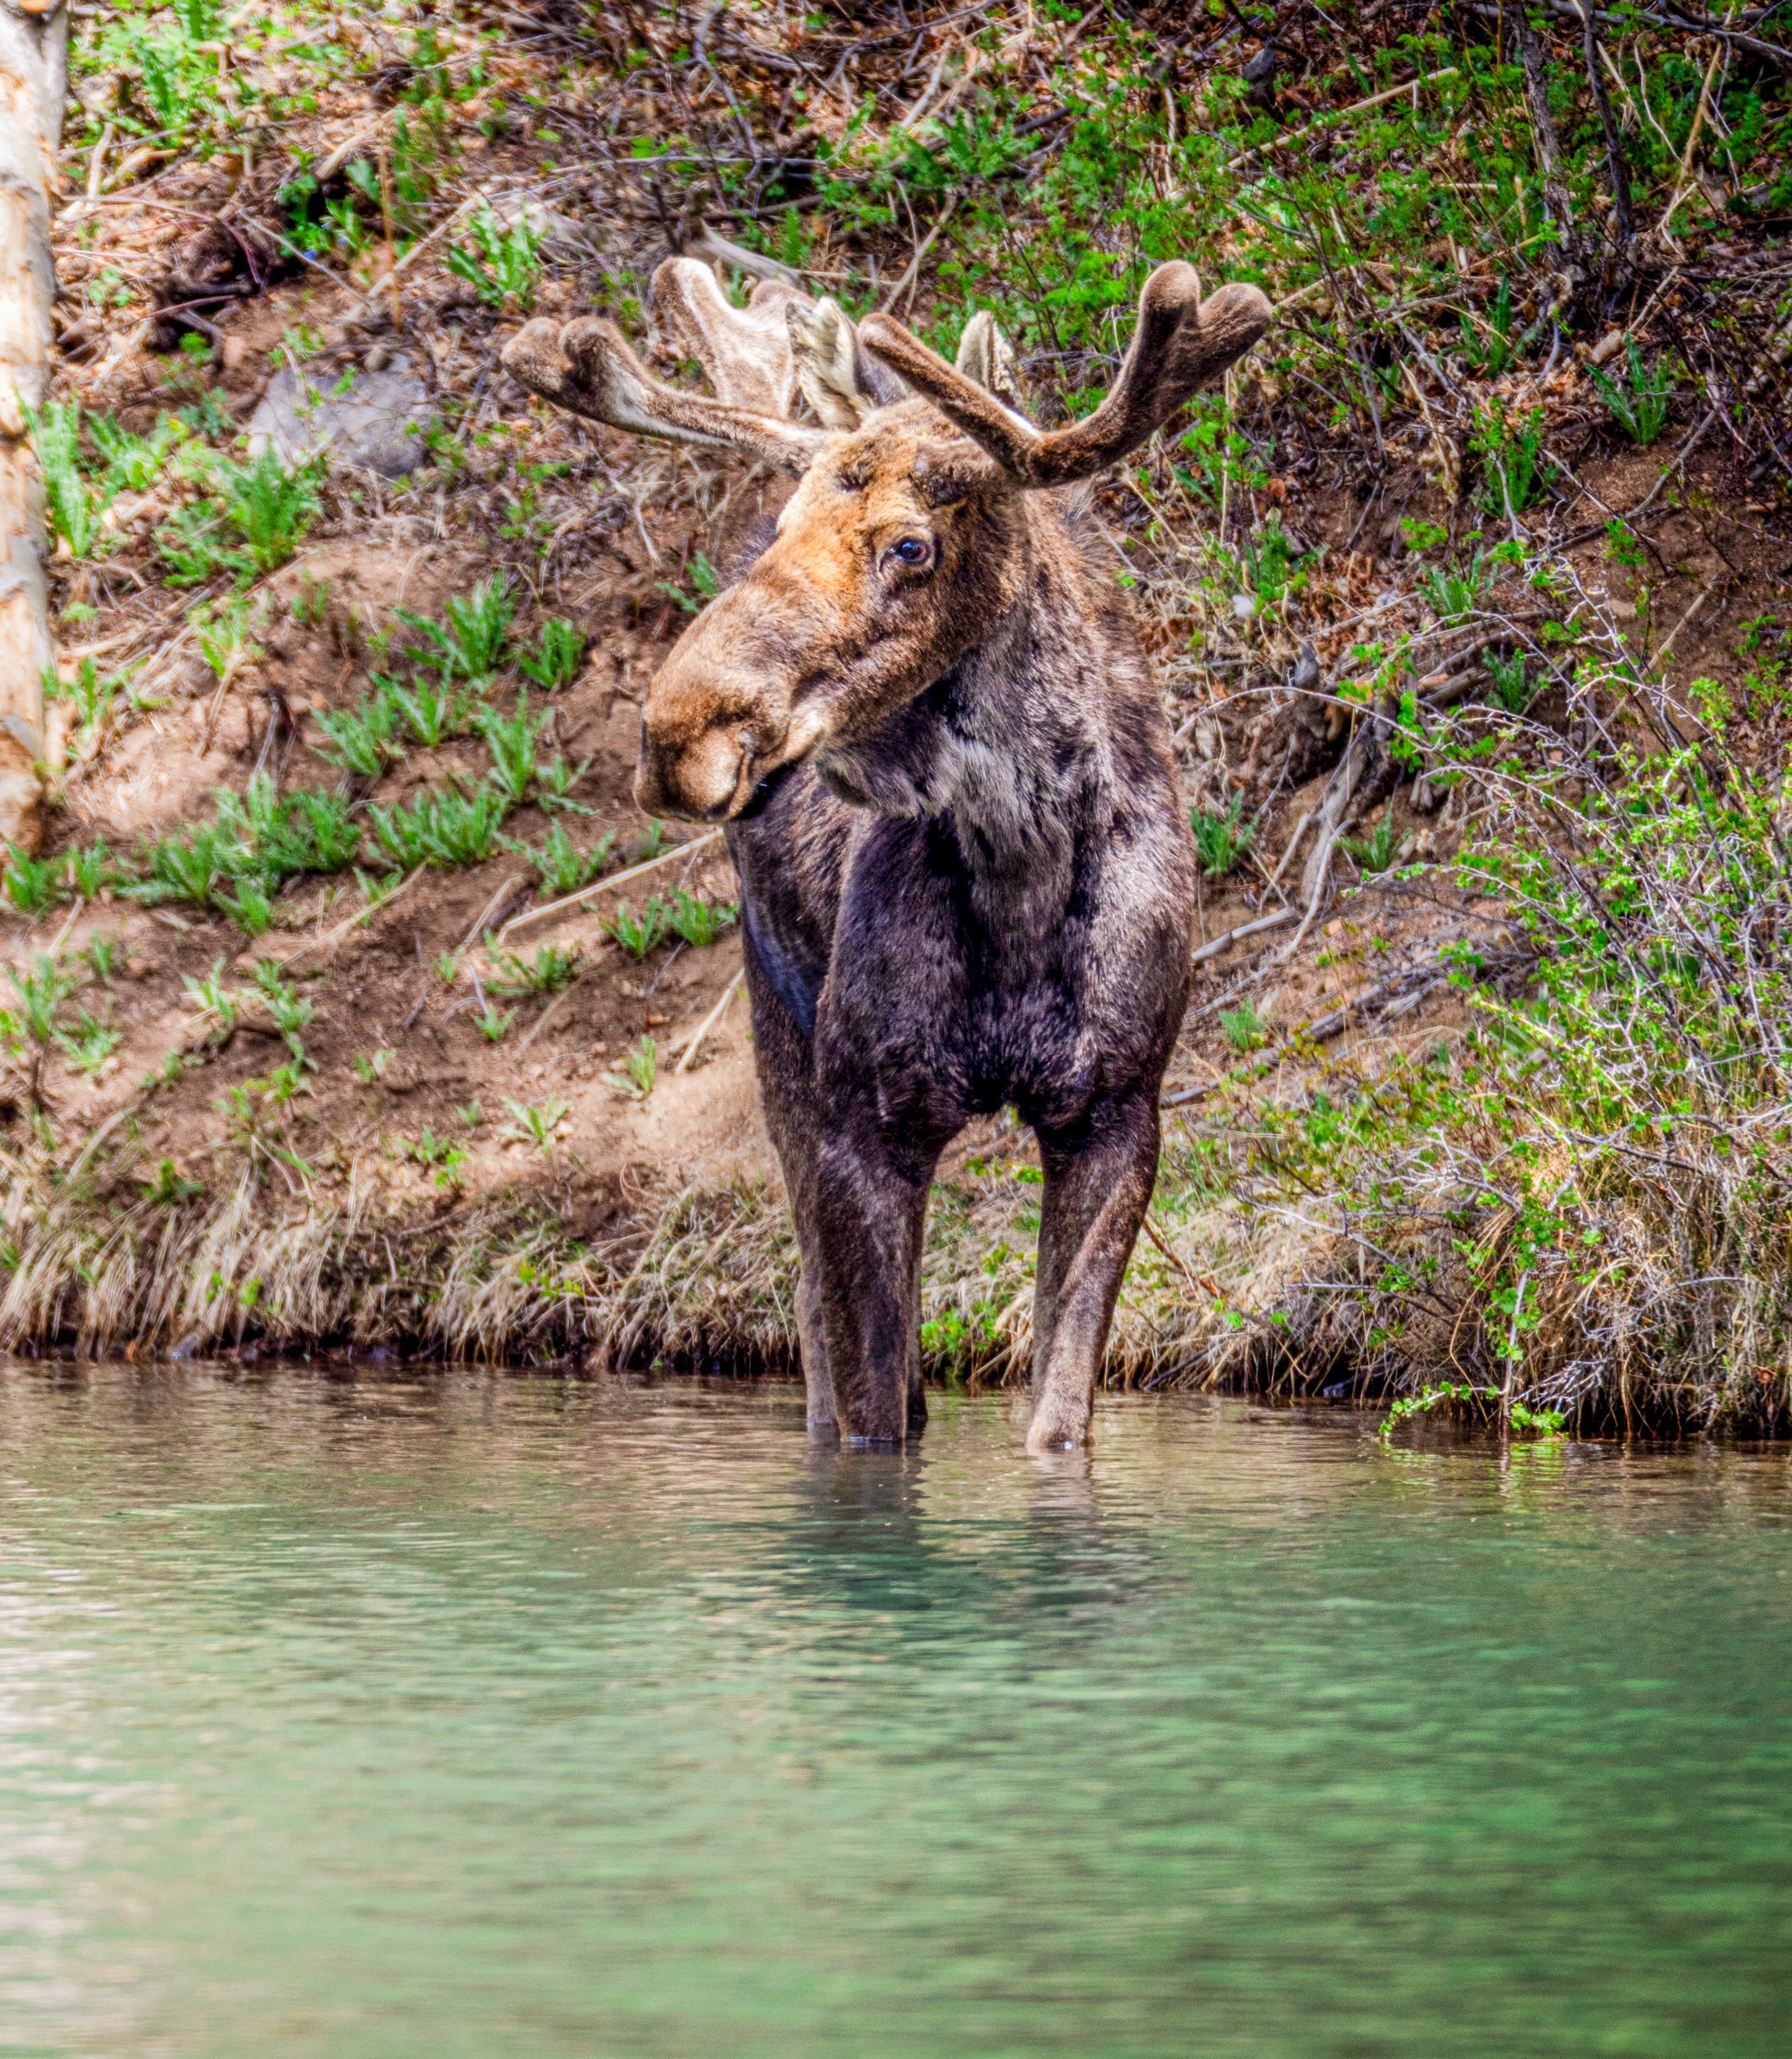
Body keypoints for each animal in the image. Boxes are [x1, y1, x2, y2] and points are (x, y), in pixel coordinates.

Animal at [502, 256, 1272, 1452]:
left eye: (909, 543)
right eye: (779, 525)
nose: (677, 733)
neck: (1019, 881)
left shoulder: (1115, 1109)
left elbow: (1056, 1419)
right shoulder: (864, 1123)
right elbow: (869, 1420)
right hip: (780, 1040)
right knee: (817, 1329)